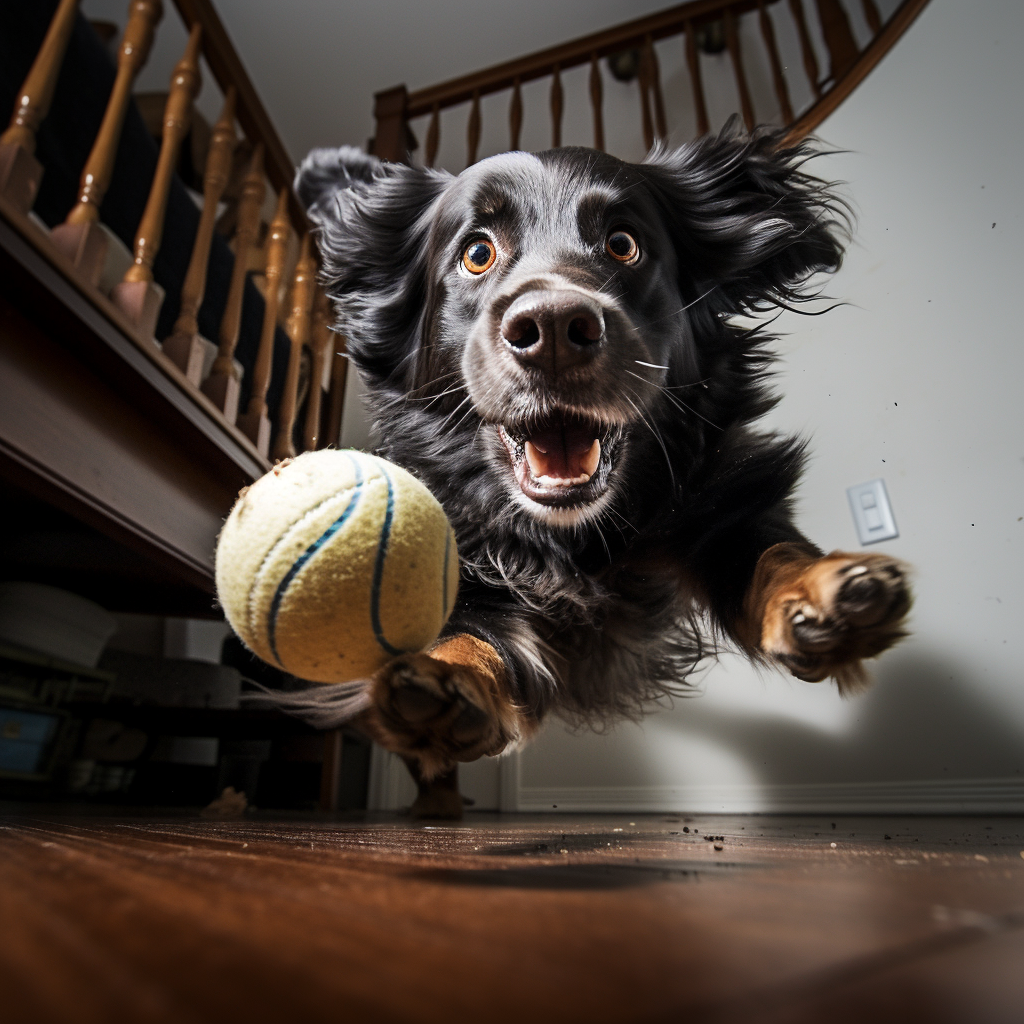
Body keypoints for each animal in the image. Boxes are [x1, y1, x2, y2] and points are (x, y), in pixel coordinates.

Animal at [292, 128, 909, 815]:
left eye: (623, 243)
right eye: (477, 253)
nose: (554, 329)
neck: (575, 541)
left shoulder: (723, 505)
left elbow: (773, 555)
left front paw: (820, 589)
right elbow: (464, 639)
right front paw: (443, 685)